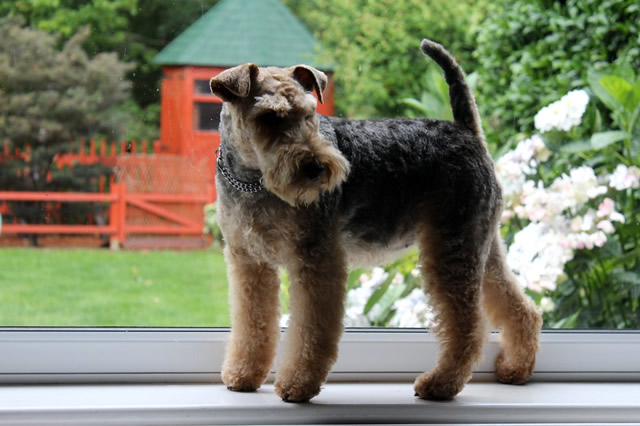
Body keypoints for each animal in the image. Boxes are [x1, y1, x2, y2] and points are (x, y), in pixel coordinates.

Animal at [210, 37, 540, 402]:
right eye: (269, 117)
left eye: (309, 114)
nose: (317, 168)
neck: (252, 181)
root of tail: (468, 130)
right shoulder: (249, 262)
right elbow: (252, 323)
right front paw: (243, 374)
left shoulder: (316, 260)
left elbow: (311, 331)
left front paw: (298, 383)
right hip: (481, 246)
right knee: (521, 309)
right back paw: (515, 369)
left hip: (451, 250)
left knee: (468, 327)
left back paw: (439, 384)